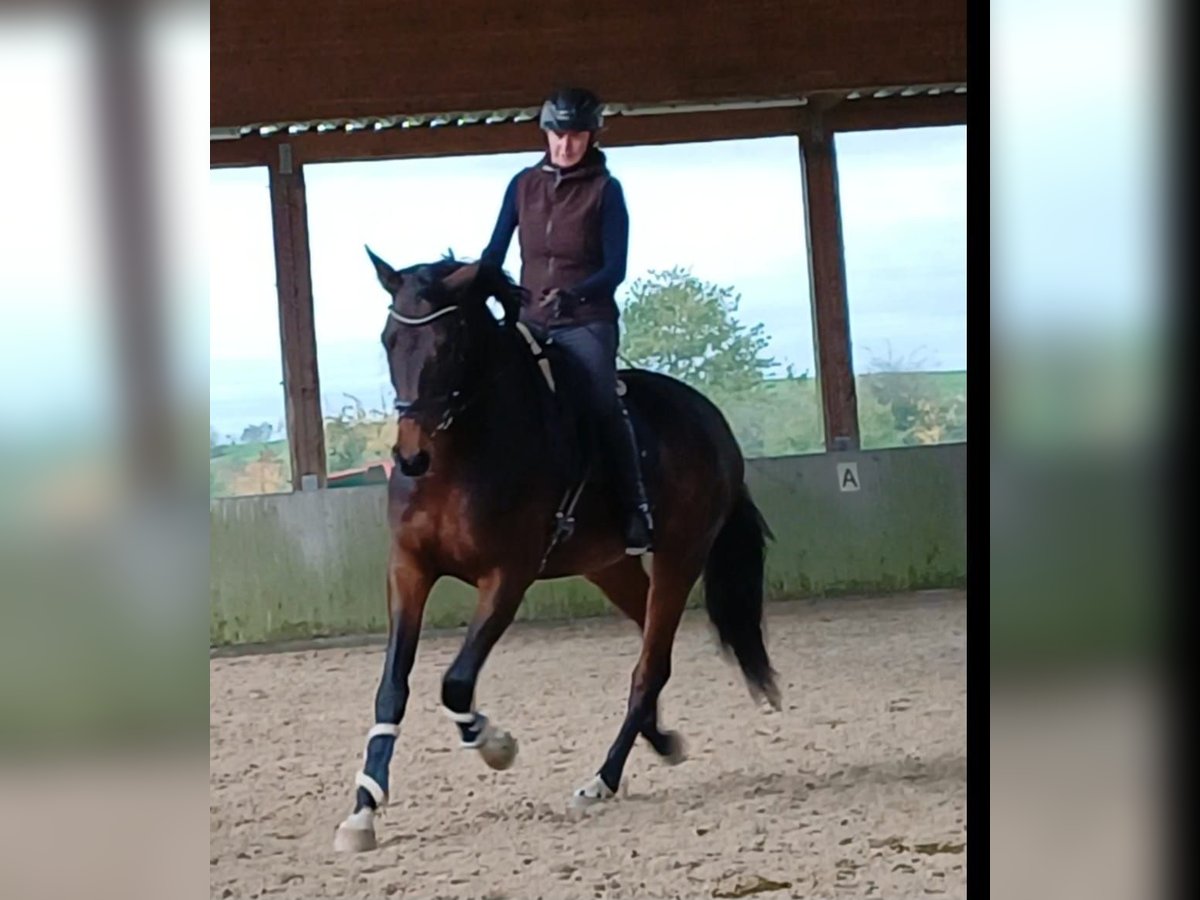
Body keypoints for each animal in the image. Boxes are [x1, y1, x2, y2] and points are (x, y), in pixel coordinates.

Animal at [333, 249, 780, 852]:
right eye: (388, 339)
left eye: (450, 344)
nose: (410, 458)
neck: (457, 457)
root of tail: (711, 421)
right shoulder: (409, 569)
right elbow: (391, 688)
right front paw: (363, 810)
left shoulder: (508, 575)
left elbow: (456, 684)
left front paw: (496, 745)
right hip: (610, 568)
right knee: (651, 649)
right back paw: (660, 742)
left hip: (680, 556)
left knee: (649, 666)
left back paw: (602, 779)